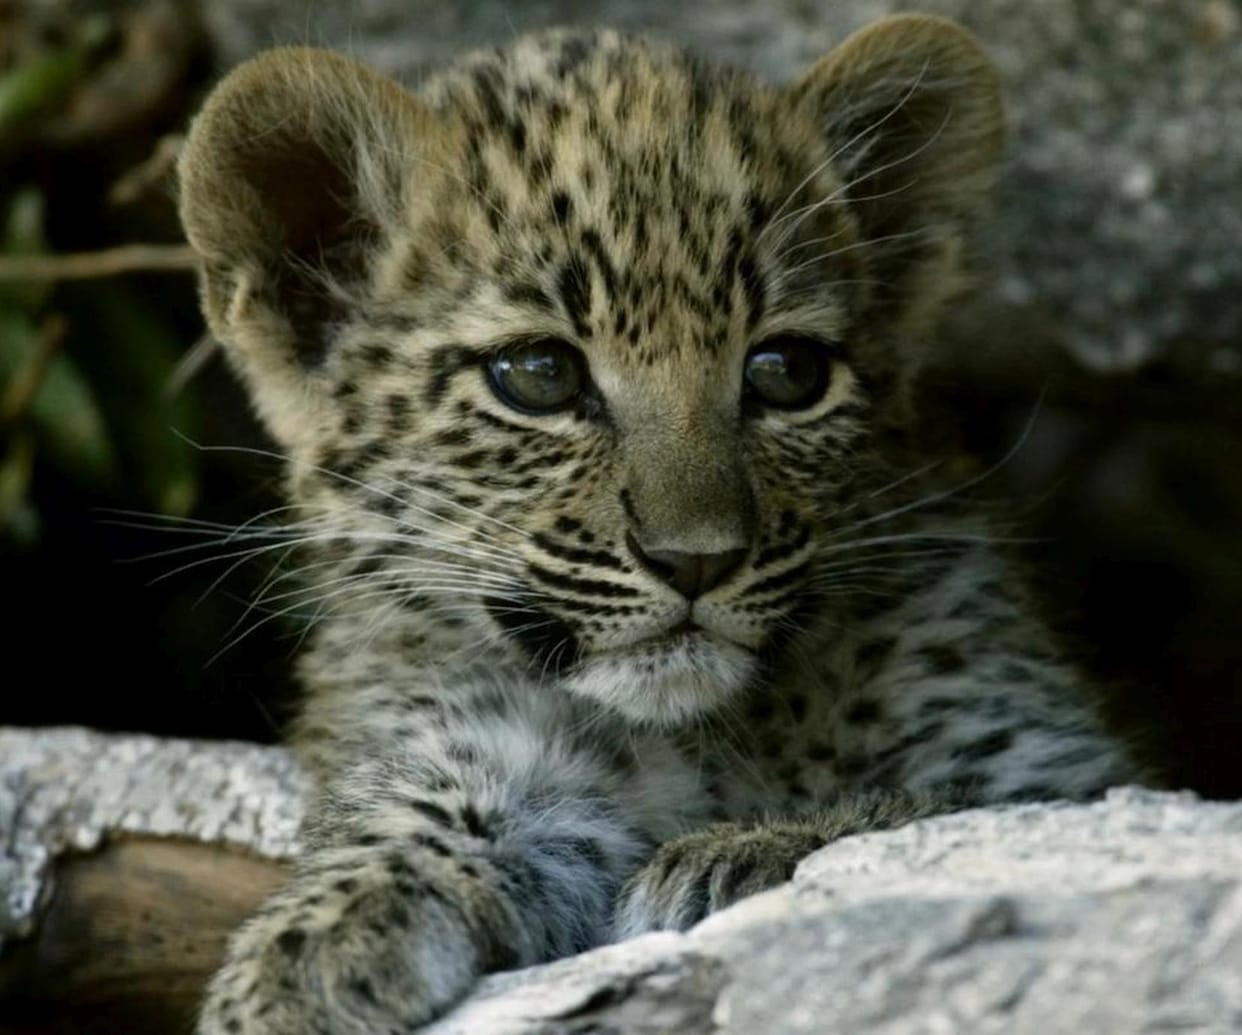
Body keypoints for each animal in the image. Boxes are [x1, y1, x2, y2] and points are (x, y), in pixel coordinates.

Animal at [178, 15, 1142, 1033]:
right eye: (539, 375)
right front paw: (305, 945)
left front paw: (737, 854)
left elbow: (933, 809)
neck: (689, 734)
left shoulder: (1040, 755)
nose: (696, 561)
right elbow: (420, 809)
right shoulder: (451, 721)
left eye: (788, 372)